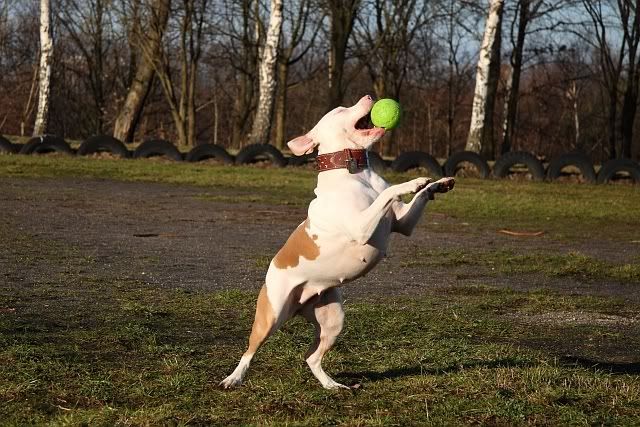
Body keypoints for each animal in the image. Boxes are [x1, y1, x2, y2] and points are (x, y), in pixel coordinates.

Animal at [220, 95, 455, 389]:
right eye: (341, 109)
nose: (369, 96)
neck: (356, 172)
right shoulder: (361, 226)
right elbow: (390, 192)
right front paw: (413, 181)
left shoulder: (404, 224)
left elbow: (416, 197)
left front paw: (439, 183)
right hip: (271, 315)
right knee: (249, 350)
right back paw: (233, 378)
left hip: (333, 320)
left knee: (311, 357)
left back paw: (333, 386)